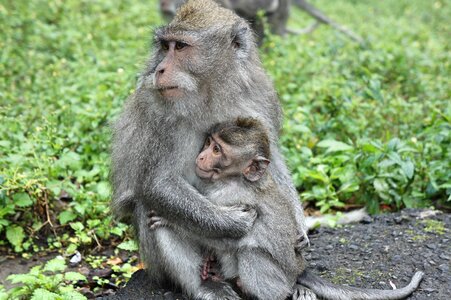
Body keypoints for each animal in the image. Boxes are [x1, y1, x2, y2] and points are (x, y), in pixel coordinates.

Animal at [112, 0, 310, 296]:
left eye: (181, 47)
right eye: (165, 46)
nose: (159, 69)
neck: (212, 91)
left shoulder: (260, 95)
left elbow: (271, 157)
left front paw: (299, 228)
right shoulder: (159, 112)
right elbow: (157, 183)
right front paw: (235, 224)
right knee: (149, 206)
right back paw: (204, 286)